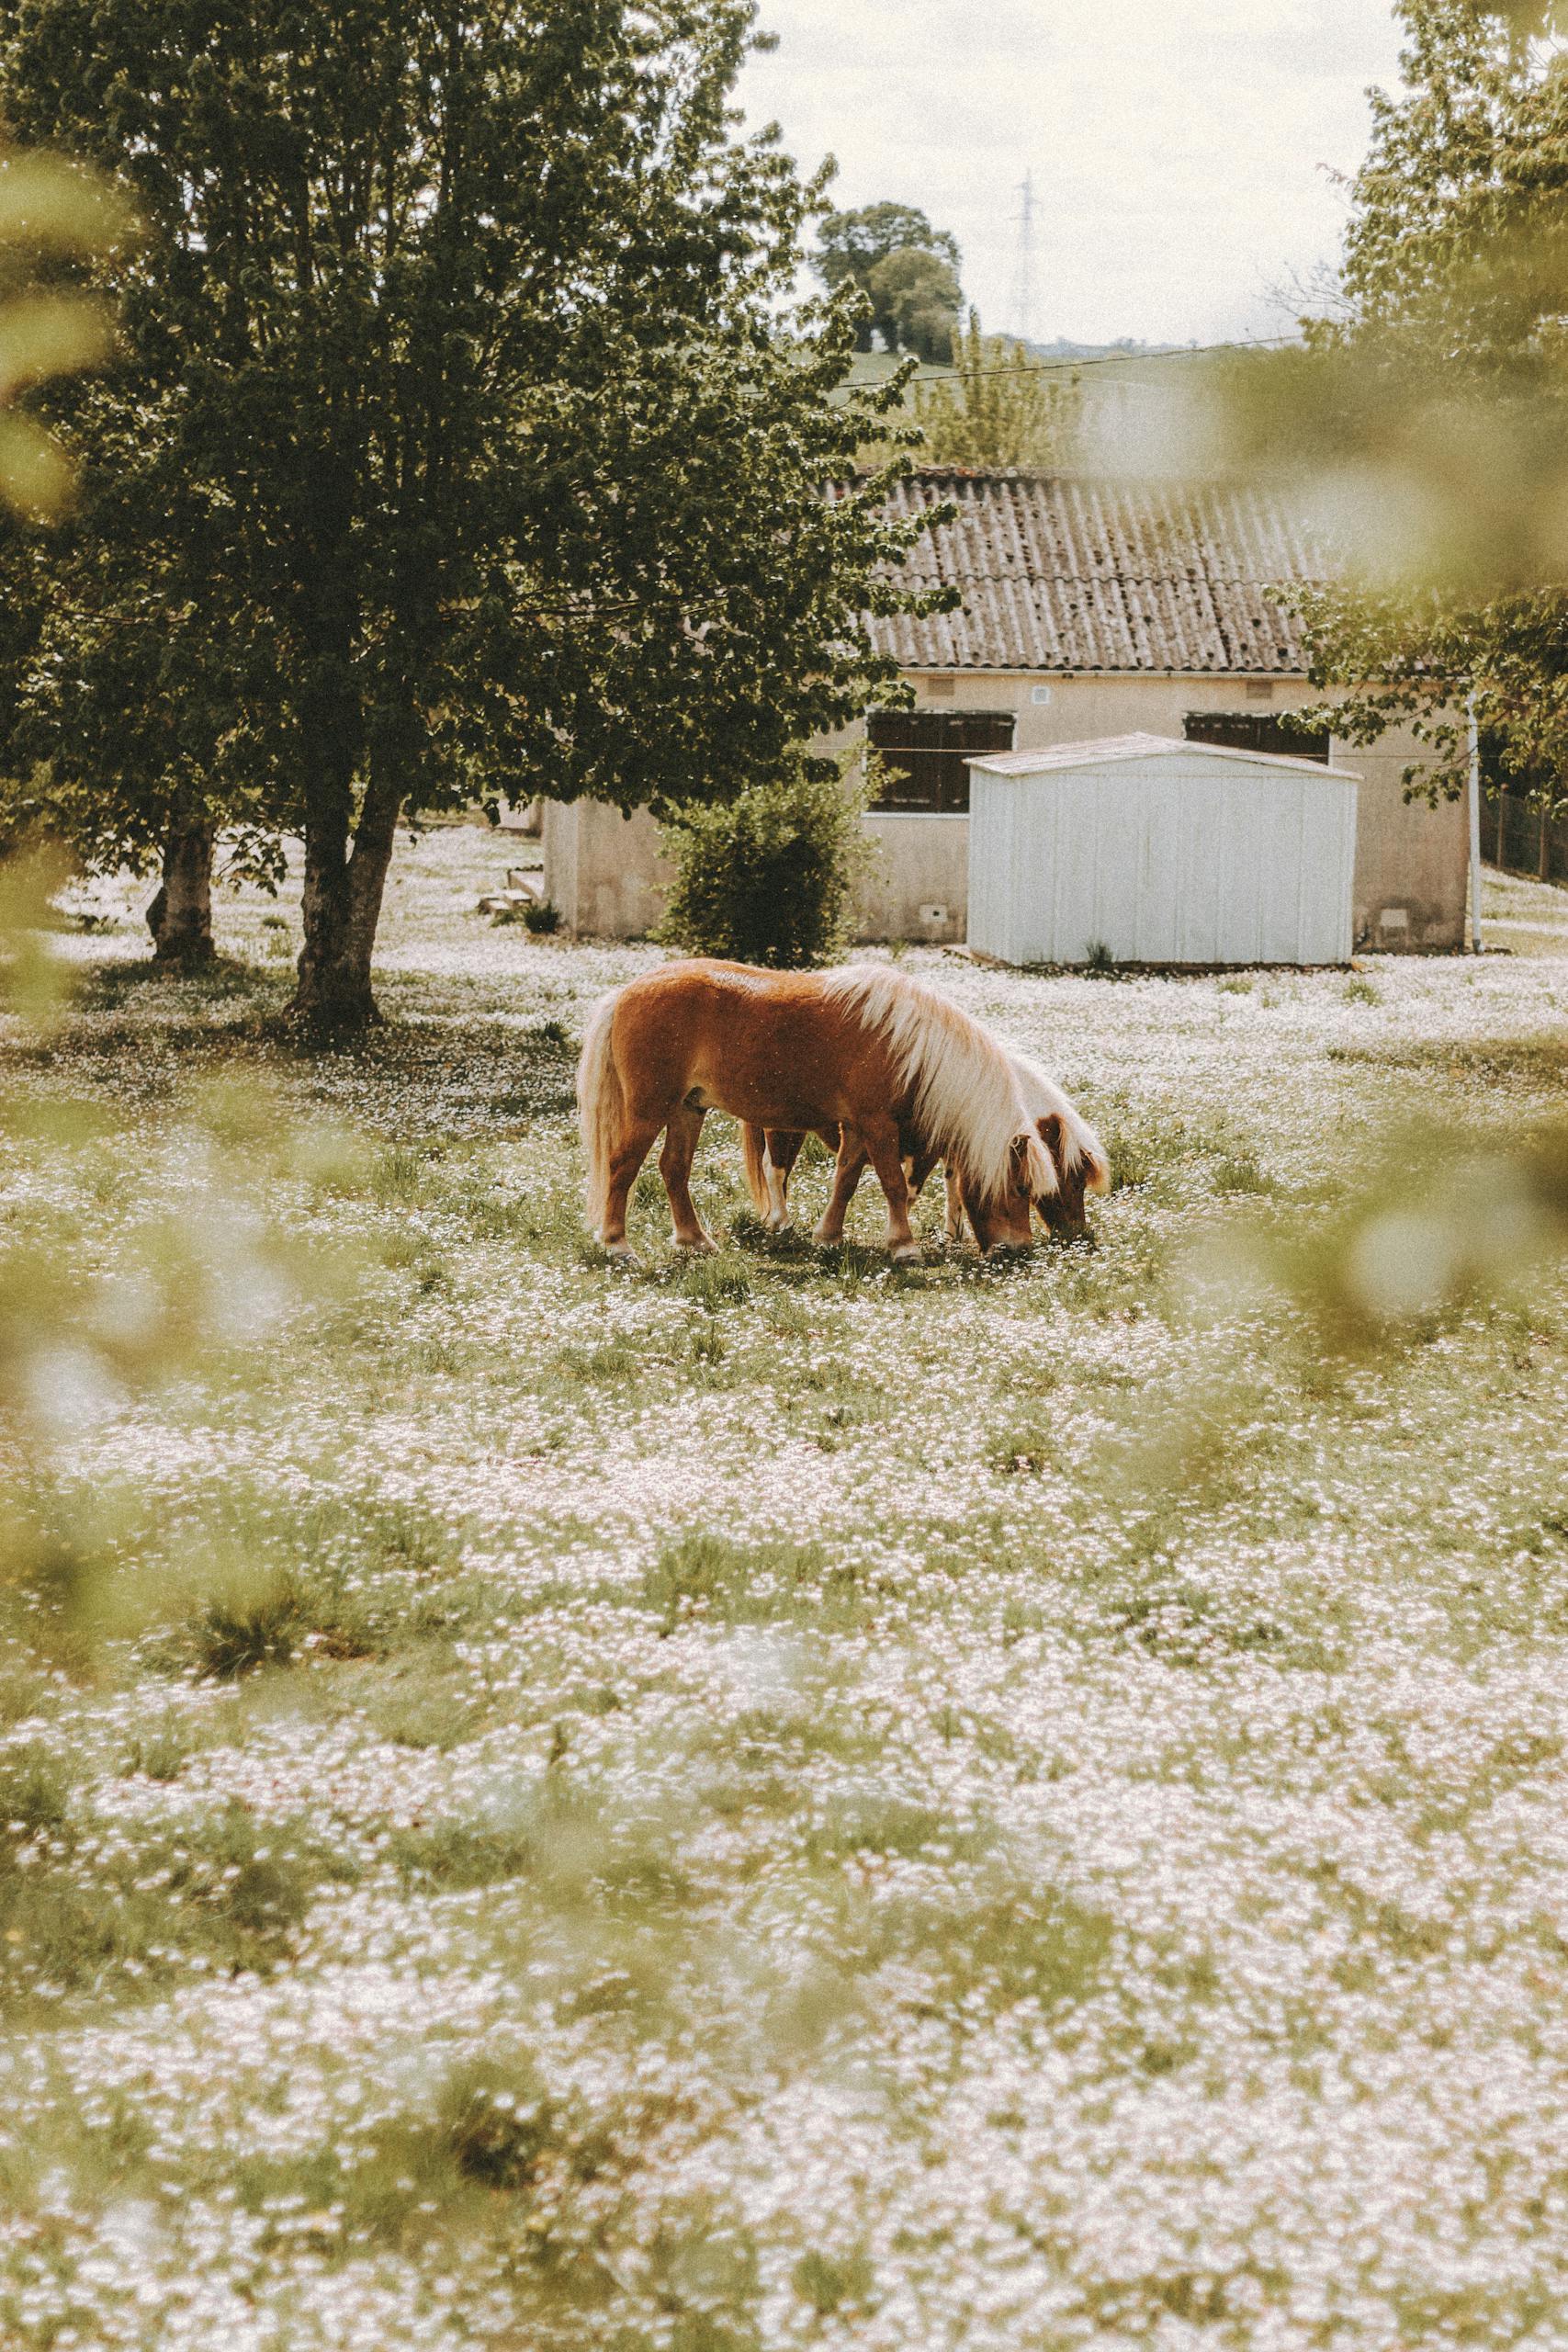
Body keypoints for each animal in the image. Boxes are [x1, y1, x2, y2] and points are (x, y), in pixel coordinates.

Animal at [576, 955, 1053, 1261]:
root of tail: (625, 993)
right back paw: (618, 1244)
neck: (908, 1043)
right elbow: (894, 1185)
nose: (1020, 1249)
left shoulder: (858, 1128)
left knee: (673, 1170)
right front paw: (904, 1247)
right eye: (1019, 1188)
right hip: (650, 1109)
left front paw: (828, 1235)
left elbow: (846, 1181)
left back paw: (695, 1240)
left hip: (687, 1110)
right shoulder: (878, 1124)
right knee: (623, 1166)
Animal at [747, 1039, 1104, 1241]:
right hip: (782, 1128)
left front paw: (952, 1234)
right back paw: (782, 1223)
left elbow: (953, 1186)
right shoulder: (926, 1151)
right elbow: (909, 1191)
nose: (1078, 1234)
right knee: (774, 1170)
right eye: (1074, 1182)